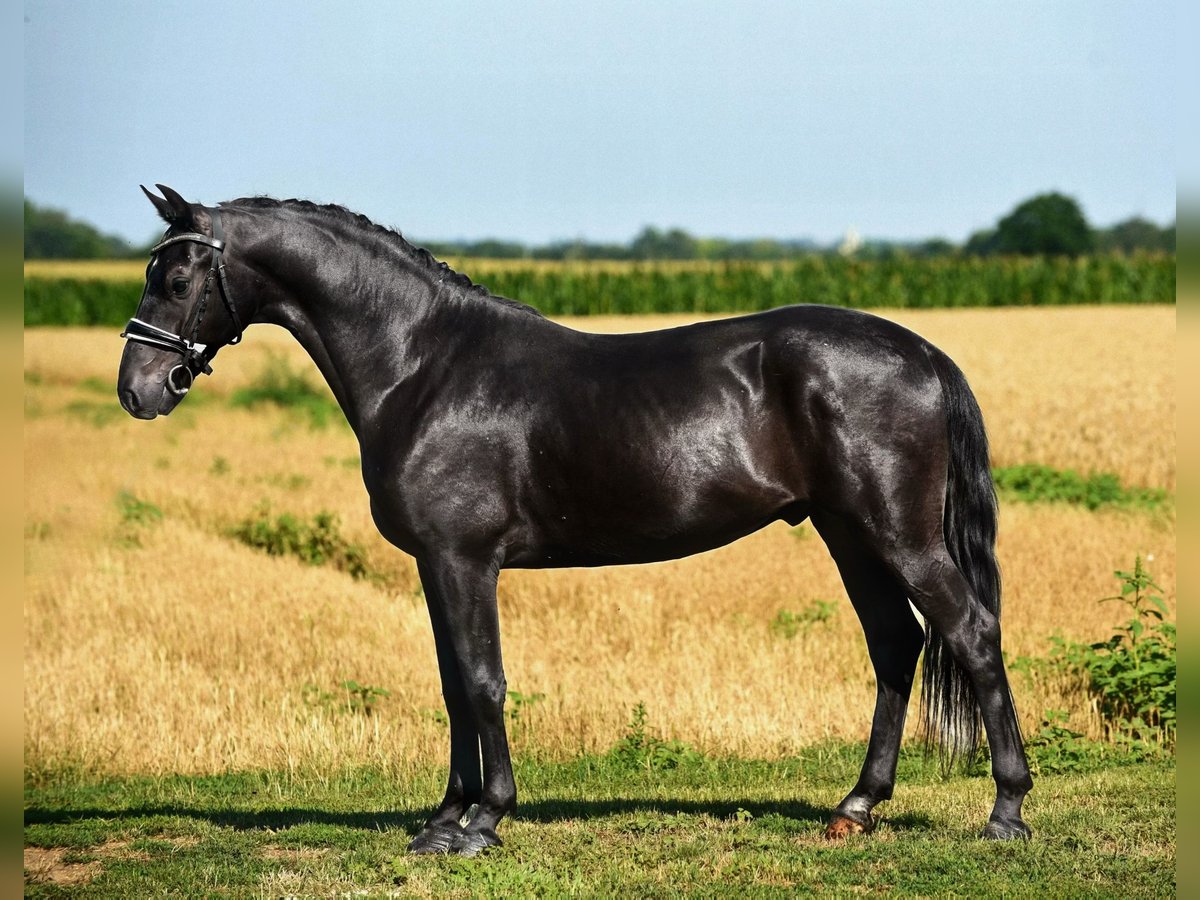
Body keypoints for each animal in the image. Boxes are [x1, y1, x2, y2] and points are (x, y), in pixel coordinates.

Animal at [117, 187, 1032, 854]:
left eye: (177, 279)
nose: (139, 389)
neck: (423, 365)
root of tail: (923, 353)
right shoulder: (434, 564)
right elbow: (452, 685)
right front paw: (441, 821)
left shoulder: (464, 559)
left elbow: (483, 681)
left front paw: (484, 822)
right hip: (849, 534)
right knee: (895, 644)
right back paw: (857, 807)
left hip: (898, 536)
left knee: (971, 634)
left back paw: (1006, 811)